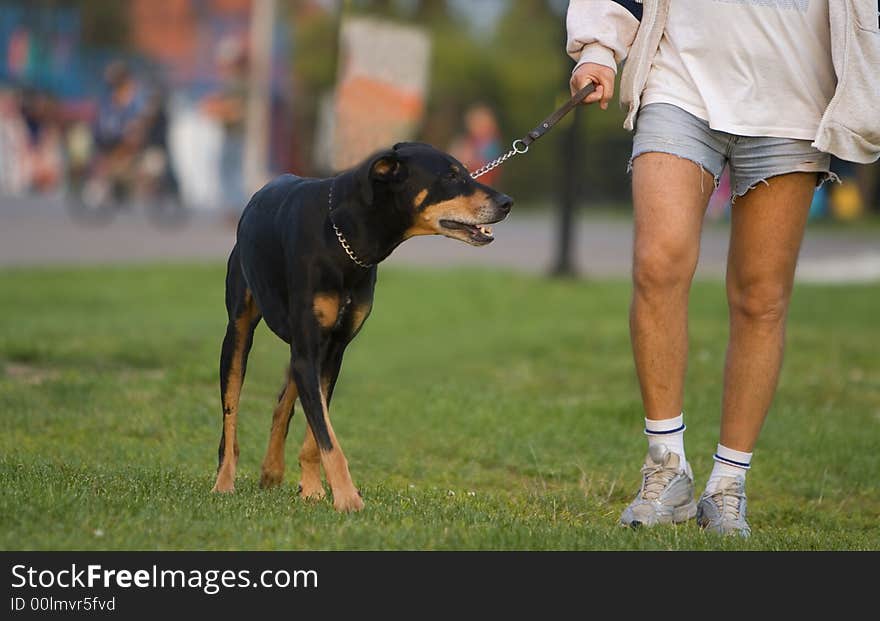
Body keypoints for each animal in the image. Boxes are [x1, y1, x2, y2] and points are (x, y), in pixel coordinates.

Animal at [211, 143, 508, 512]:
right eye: (450, 175)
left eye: (465, 171)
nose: (507, 202)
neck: (342, 236)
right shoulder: (309, 348)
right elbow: (327, 437)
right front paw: (348, 499)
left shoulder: (332, 350)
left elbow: (315, 433)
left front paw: (313, 491)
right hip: (239, 331)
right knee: (231, 415)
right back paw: (224, 482)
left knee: (283, 401)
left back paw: (272, 470)